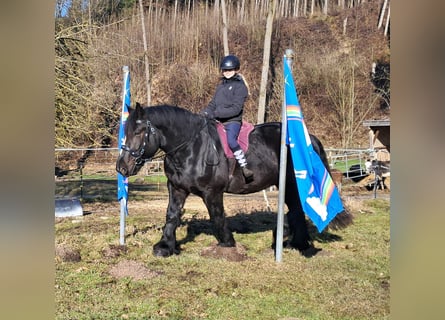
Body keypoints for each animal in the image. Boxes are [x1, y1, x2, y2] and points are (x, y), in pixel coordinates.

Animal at [116, 102, 352, 258]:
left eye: (139, 131)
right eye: (125, 131)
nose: (122, 167)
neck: (191, 147)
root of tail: (308, 138)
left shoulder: (212, 192)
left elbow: (217, 216)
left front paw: (227, 243)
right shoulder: (176, 188)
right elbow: (172, 216)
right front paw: (165, 247)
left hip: (293, 184)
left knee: (296, 210)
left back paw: (296, 243)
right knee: (295, 210)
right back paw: (295, 243)